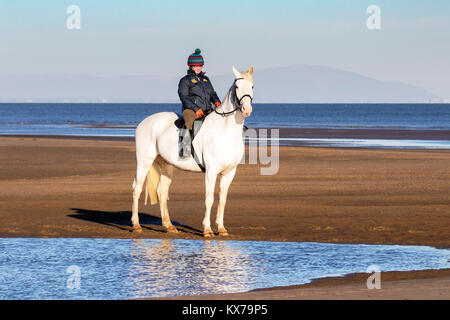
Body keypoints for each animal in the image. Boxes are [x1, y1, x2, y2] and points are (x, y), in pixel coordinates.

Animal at [132, 65, 255, 236]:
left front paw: (221, 228)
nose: (246, 109)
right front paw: (207, 230)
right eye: (237, 86)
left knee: (162, 192)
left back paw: (169, 226)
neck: (225, 131)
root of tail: (144, 123)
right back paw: (136, 225)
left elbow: (223, 199)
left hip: (166, 166)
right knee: (136, 189)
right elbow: (209, 198)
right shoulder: (211, 171)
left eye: (252, 86)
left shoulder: (229, 172)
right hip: (144, 162)